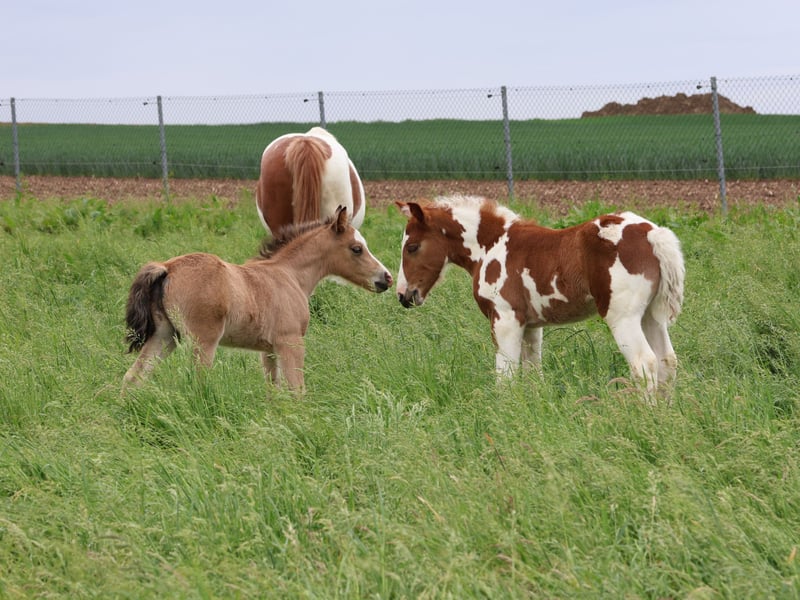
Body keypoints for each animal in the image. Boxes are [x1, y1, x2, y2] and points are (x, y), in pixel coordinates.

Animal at [123, 207, 392, 393]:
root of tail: (167, 267)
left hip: (165, 335)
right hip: (202, 341)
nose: (386, 278)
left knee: (133, 377)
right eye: (357, 248)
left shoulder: (268, 350)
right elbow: (297, 389)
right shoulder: (290, 342)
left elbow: (273, 389)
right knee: (197, 383)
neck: (289, 275)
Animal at [395, 195, 685, 398]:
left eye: (412, 247)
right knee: (666, 362)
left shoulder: (505, 319)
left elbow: (506, 375)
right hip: (651, 316)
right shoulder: (531, 325)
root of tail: (653, 234)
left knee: (644, 363)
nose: (404, 295)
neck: (492, 246)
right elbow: (533, 372)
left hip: (622, 317)